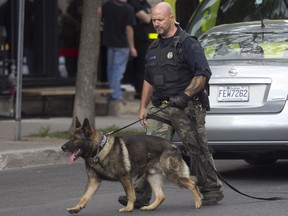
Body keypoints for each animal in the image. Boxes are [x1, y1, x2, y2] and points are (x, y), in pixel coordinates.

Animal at [62, 117, 201, 213]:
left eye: (76, 139)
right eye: (70, 137)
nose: (63, 147)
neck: (99, 149)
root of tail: (172, 145)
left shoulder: (124, 177)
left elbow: (130, 194)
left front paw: (128, 208)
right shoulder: (93, 181)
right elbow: (84, 196)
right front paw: (76, 208)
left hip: (172, 175)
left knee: (192, 183)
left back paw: (198, 202)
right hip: (152, 177)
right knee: (161, 196)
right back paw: (149, 207)